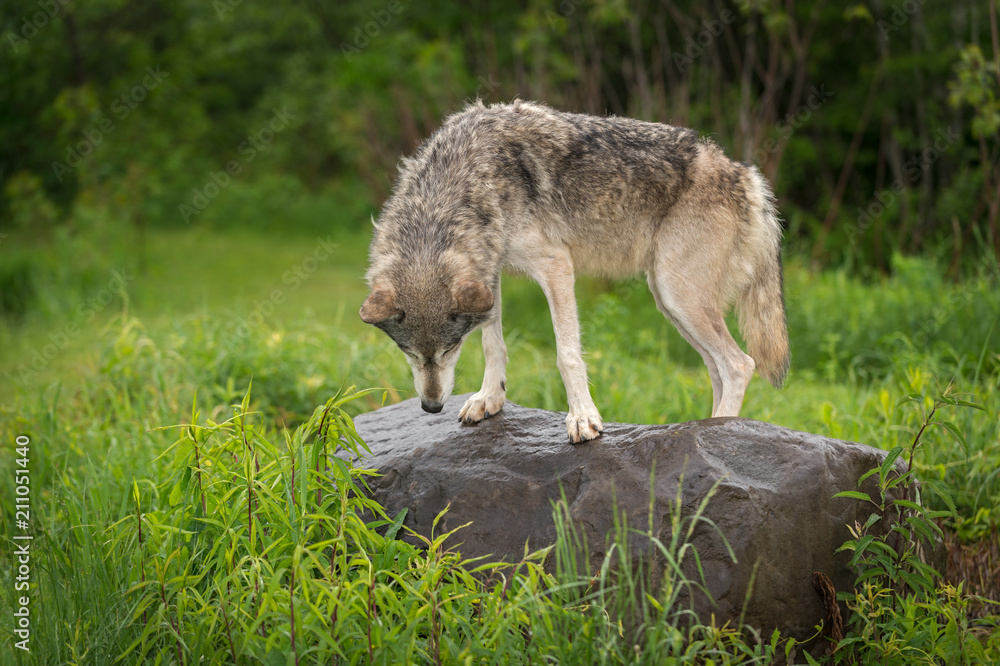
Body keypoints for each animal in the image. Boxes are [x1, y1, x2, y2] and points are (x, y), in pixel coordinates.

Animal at [360, 100, 789, 443]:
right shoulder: (488, 273)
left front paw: (583, 419)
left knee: (740, 364)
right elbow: (492, 344)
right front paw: (489, 399)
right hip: (672, 304)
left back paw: (720, 432)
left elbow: (567, 355)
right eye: (408, 351)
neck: (463, 182)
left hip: (678, 295)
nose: (431, 407)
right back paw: (707, 427)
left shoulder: (555, 266)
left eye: (449, 349)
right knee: (717, 369)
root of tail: (747, 175)